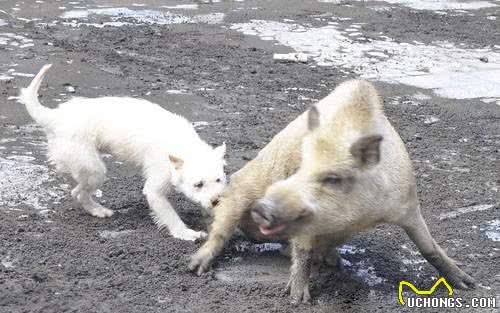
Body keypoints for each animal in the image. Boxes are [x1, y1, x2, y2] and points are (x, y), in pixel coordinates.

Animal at [19, 62, 227, 239]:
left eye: (219, 180)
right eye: (198, 184)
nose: (217, 200)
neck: (183, 144)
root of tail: (54, 117)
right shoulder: (156, 187)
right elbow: (169, 214)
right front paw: (185, 233)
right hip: (92, 168)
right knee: (78, 192)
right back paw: (99, 210)